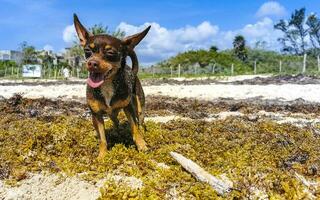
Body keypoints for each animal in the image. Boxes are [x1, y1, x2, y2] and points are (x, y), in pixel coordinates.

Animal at [74, 13, 151, 159]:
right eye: (87, 51)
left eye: (110, 53)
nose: (91, 63)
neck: (107, 85)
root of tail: (131, 70)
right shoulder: (96, 115)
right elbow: (102, 138)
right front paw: (102, 156)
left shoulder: (128, 108)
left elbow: (135, 129)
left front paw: (142, 145)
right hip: (109, 114)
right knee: (115, 121)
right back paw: (116, 132)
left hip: (139, 104)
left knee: (140, 120)